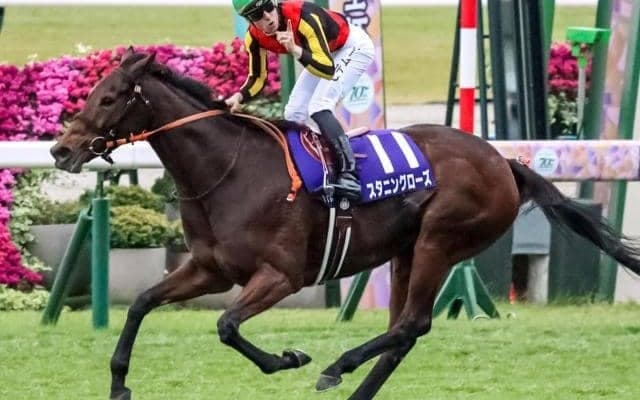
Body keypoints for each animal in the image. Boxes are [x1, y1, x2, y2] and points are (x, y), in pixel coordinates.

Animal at [50, 49, 640, 400]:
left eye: (108, 98)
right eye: (91, 94)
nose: (60, 150)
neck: (231, 169)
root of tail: (504, 162)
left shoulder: (282, 275)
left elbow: (227, 326)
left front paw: (289, 357)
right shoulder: (210, 269)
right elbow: (142, 303)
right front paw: (119, 383)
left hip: (441, 240)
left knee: (411, 324)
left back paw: (338, 366)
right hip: (407, 251)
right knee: (403, 333)